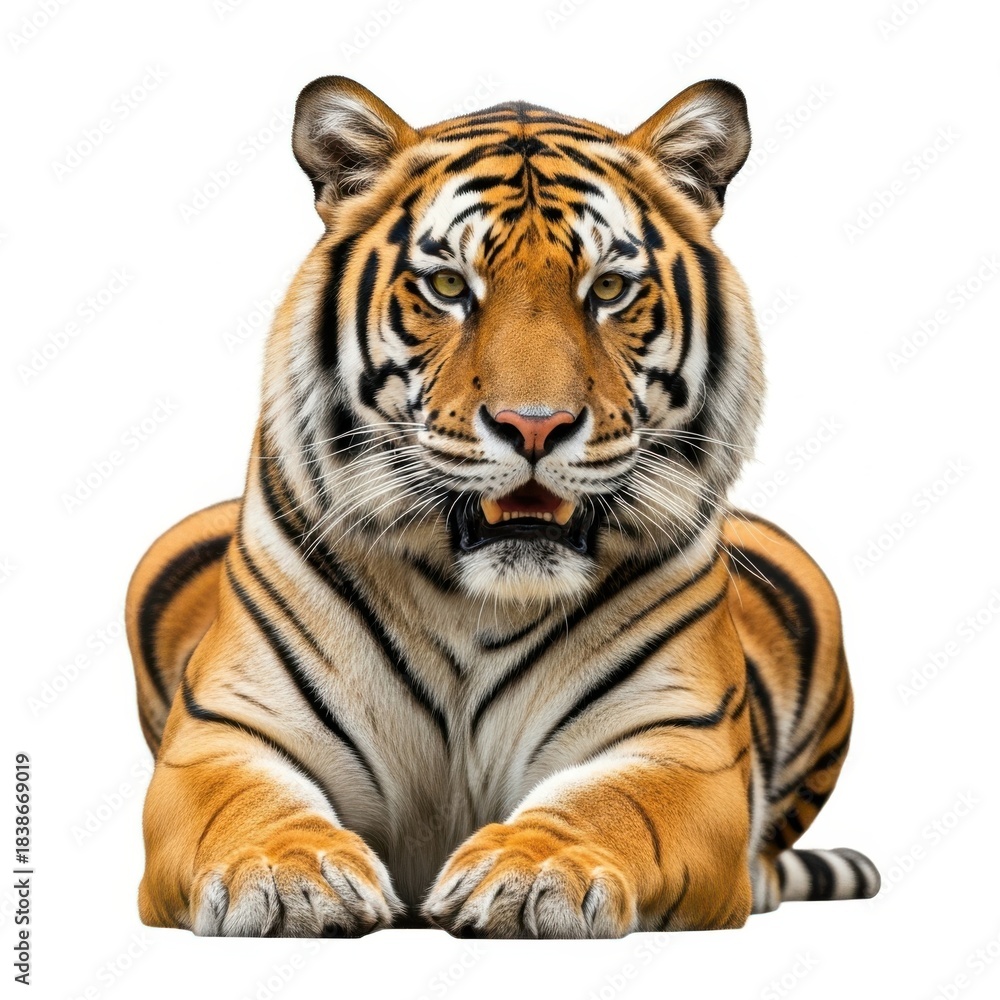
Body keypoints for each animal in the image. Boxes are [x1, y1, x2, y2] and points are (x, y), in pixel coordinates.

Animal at [125, 76, 880, 938]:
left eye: (609, 289)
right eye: (449, 286)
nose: (535, 425)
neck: (476, 603)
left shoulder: (677, 739)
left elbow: (613, 804)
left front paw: (537, 872)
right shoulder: (223, 731)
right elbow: (243, 806)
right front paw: (287, 874)